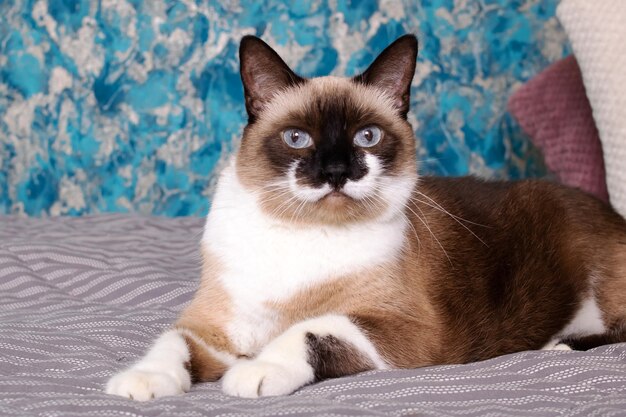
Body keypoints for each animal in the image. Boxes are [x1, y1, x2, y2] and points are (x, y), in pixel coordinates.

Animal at [105, 34, 624, 398]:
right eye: (298, 139)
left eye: (367, 137)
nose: (336, 172)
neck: (303, 233)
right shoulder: (213, 329)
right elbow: (170, 342)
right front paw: (140, 383)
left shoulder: (405, 331)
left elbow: (309, 329)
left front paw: (255, 372)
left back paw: (560, 346)